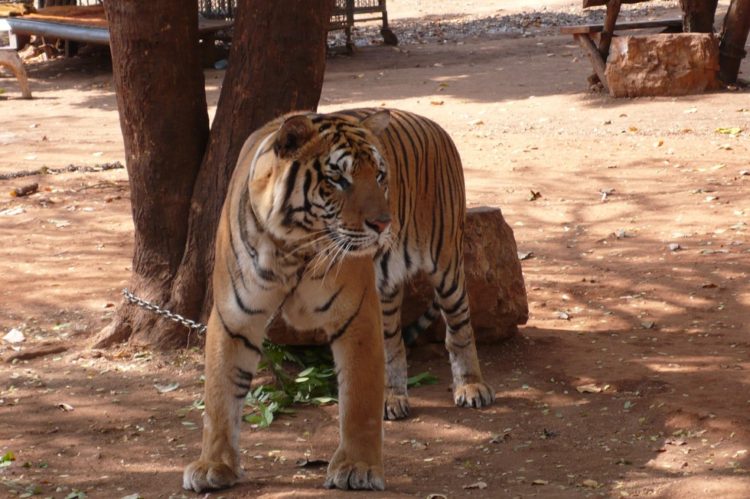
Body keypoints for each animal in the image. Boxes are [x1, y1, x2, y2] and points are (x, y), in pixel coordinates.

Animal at [184, 106, 496, 492]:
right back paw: (393, 397)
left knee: (459, 330)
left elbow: (358, 398)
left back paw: (471, 387)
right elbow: (220, 396)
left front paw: (357, 468)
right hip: (386, 292)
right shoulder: (234, 317)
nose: (384, 224)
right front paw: (215, 464)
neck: (291, 248)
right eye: (338, 180)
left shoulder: (356, 314)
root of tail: (433, 124)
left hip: (447, 266)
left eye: (379, 175)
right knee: (394, 343)